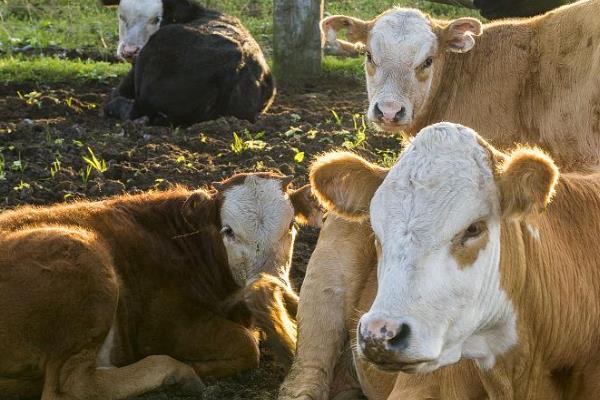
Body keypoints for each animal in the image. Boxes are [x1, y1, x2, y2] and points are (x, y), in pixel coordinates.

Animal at [0, 173, 324, 400]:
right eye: (228, 231)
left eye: (291, 226)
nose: (272, 284)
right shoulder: (165, 325)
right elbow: (246, 345)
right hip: (84, 257)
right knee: (71, 385)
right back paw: (178, 372)